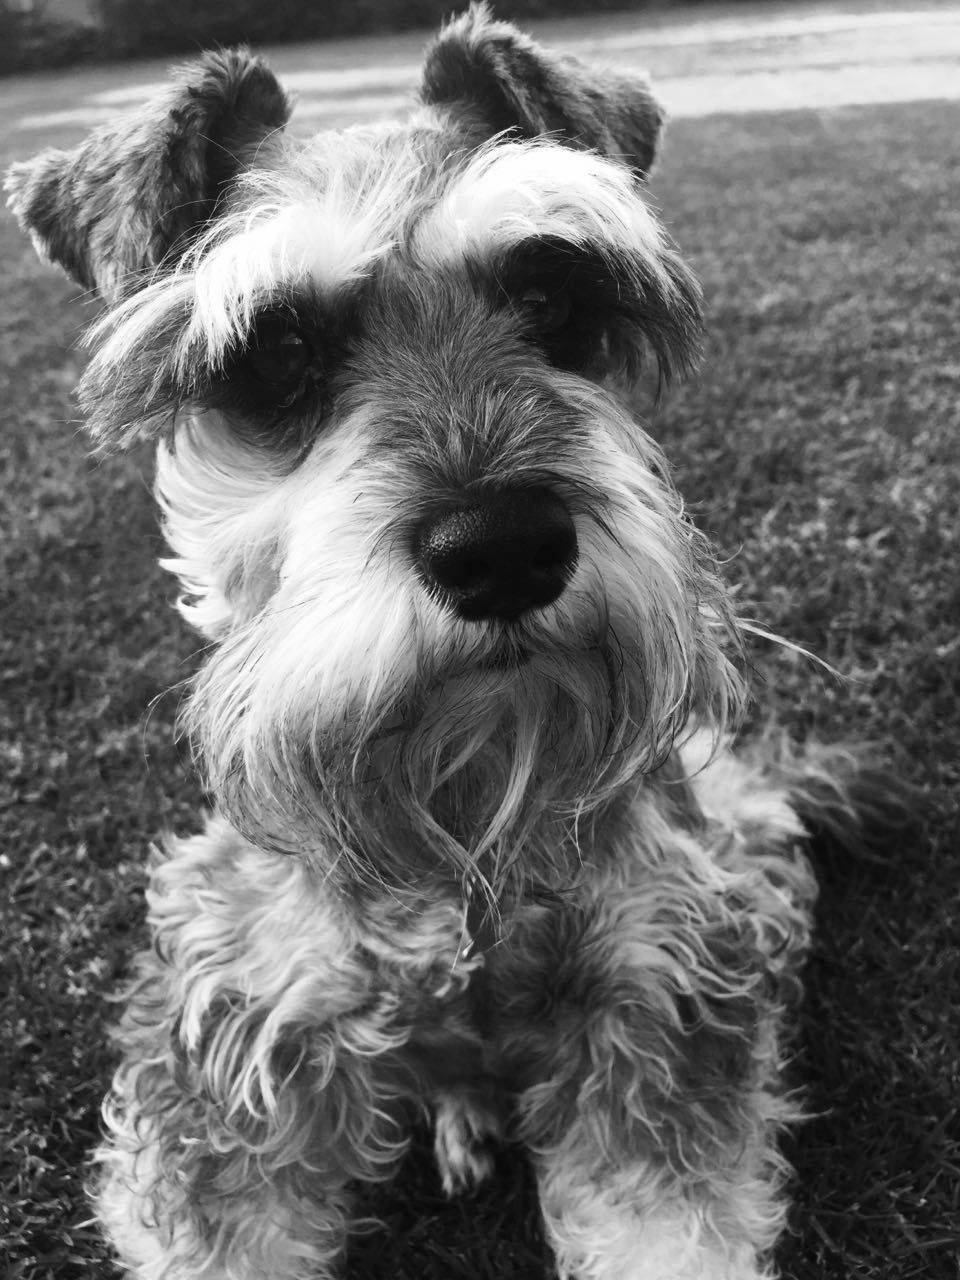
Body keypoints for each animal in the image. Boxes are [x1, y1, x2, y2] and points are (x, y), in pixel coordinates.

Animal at [3, 10, 901, 1280]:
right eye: (276, 349)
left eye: (553, 291)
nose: (506, 547)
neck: (466, 812)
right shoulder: (236, 1042)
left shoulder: (655, 1004)